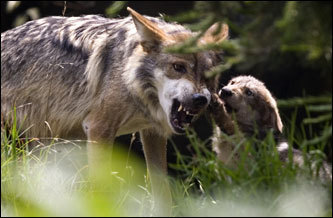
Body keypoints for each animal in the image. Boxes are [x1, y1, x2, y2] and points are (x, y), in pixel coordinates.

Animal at [0, 7, 228, 215]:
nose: (200, 99)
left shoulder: (152, 134)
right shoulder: (99, 128)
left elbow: (162, 191)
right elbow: (101, 189)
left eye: (207, 75)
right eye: (178, 67)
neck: (131, 80)